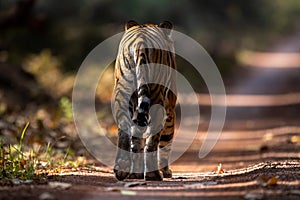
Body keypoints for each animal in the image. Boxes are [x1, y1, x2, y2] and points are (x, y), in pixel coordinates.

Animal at [113, 20, 177, 181]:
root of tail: (140, 43)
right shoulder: (170, 109)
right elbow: (166, 140)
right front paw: (166, 171)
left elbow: (136, 140)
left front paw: (135, 173)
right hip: (157, 99)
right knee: (153, 140)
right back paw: (154, 175)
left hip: (122, 93)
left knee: (125, 129)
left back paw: (122, 168)